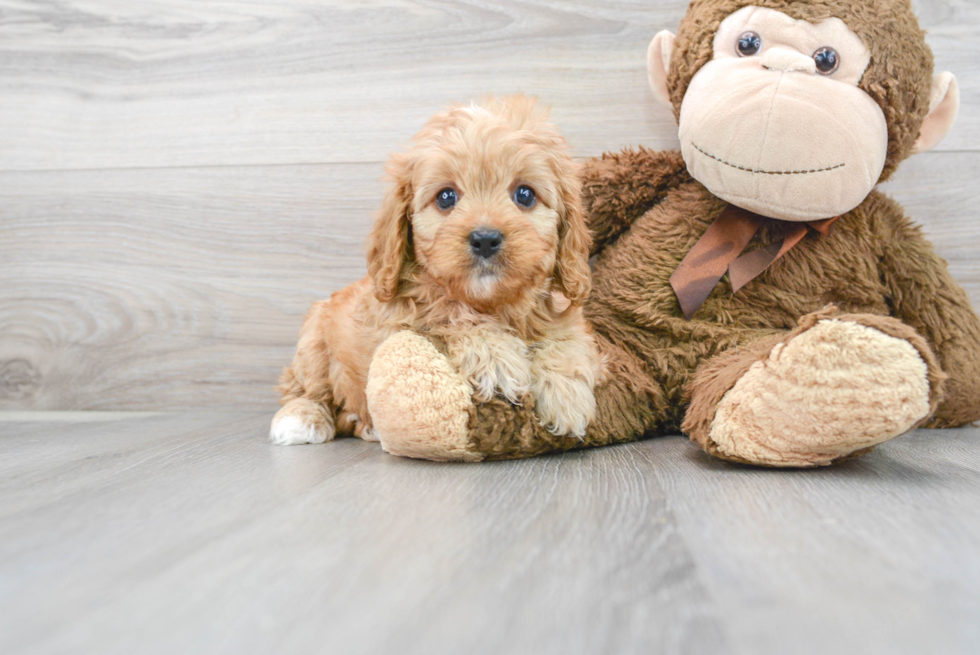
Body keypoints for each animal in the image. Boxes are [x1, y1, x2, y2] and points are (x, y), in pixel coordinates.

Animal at [272, 96, 600, 446]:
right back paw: (301, 418)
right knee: (306, 388)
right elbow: (448, 312)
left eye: (524, 194)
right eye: (446, 197)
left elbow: (564, 336)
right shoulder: (400, 318)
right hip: (313, 339)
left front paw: (566, 393)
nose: (485, 239)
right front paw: (496, 357)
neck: (493, 304)